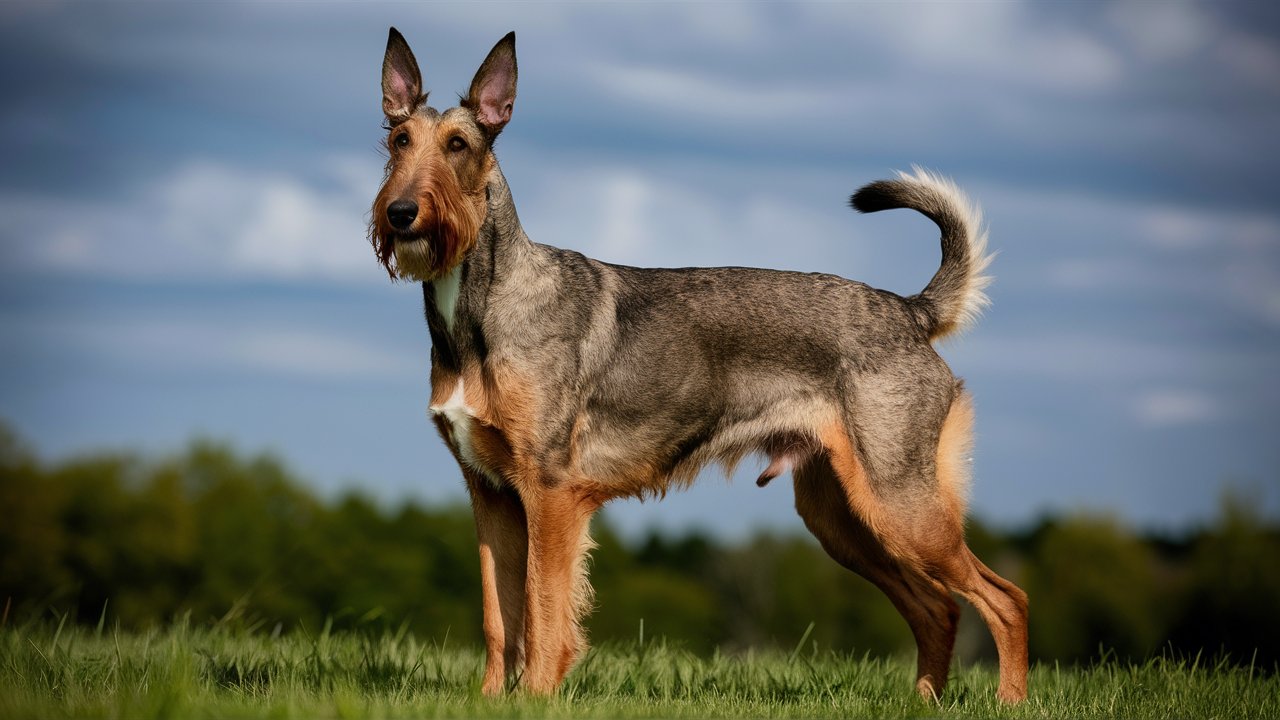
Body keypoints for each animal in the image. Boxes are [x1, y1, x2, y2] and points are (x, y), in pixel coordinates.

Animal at [368, 28, 1029, 702]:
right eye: (398, 140)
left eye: (458, 145)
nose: (400, 213)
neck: (481, 314)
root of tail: (909, 310)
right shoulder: (490, 492)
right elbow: (499, 618)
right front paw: (493, 701)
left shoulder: (548, 492)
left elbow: (543, 613)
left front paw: (536, 701)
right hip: (845, 521)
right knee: (937, 608)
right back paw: (925, 702)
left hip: (902, 506)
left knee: (1005, 599)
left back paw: (1009, 701)